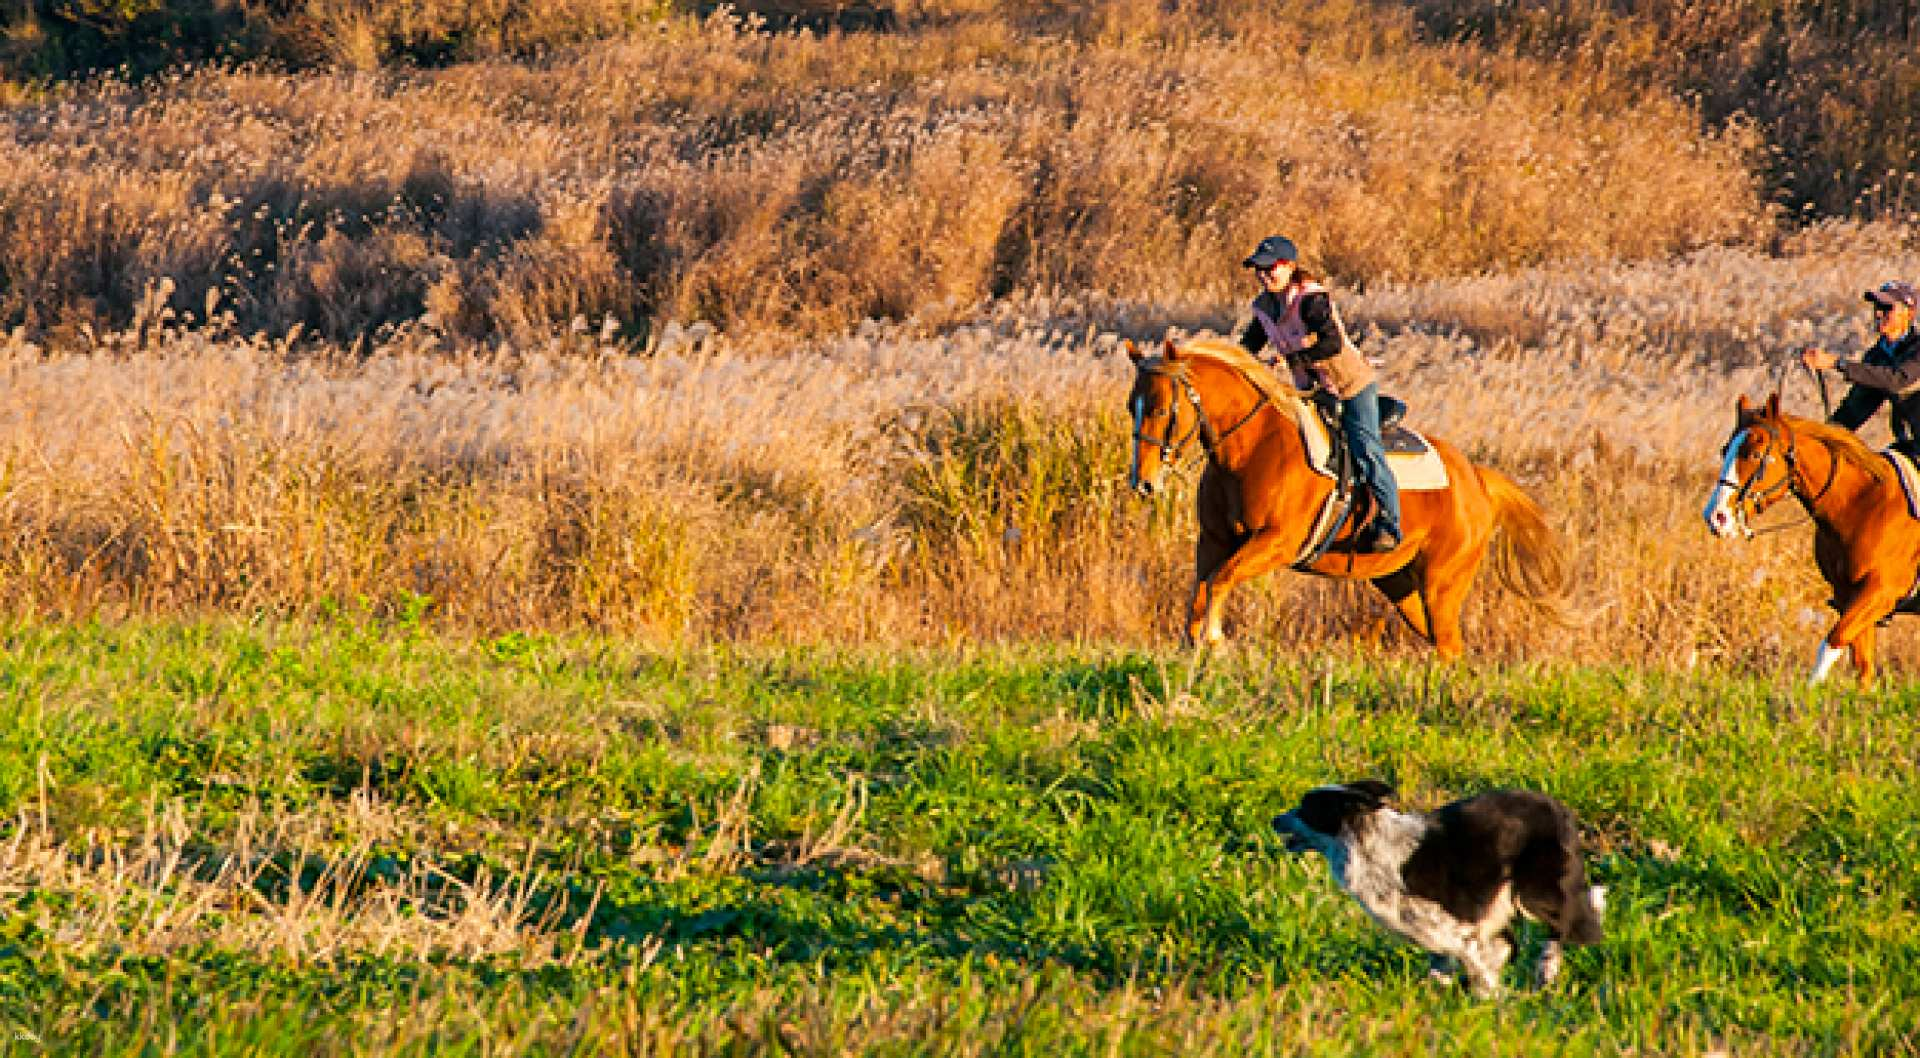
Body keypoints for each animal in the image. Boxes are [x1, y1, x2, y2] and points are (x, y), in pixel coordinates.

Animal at [1126, 337, 1565, 657]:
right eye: (1132, 406)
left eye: (1162, 409)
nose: (1142, 482)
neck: (1253, 448)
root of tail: (1476, 479)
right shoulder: (1213, 541)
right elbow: (1200, 591)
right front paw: (1194, 645)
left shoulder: (1277, 542)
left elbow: (1221, 579)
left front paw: (1215, 638)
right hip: (1402, 584)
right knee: (1444, 645)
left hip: (1443, 583)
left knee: (1449, 645)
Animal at [1702, 393, 1920, 683]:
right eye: (1724, 449)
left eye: (1756, 454)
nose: (1716, 516)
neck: (1865, 504)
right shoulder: (1848, 596)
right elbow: (1862, 667)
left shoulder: (1880, 592)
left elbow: (1832, 643)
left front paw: (1810, 690)